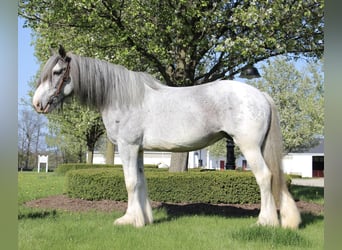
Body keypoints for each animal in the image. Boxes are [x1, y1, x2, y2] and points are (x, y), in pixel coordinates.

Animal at [31, 46, 300, 229]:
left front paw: (128, 220)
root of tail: (260, 95)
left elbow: (130, 182)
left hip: (249, 146)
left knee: (265, 177)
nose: (37, 103)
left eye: (57, 72)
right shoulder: (138, 149)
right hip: (260, 147)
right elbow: (141, 182)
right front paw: (144, 219)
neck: (122, 97)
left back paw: (265, 221)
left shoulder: (127, 147)